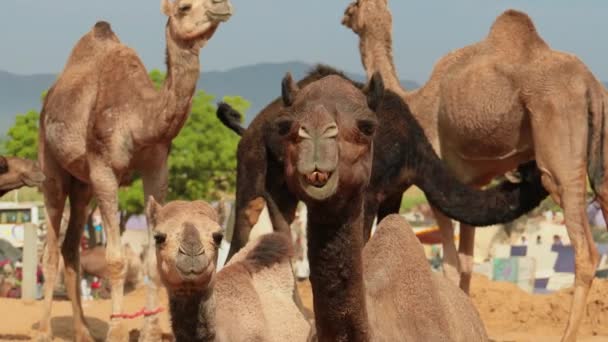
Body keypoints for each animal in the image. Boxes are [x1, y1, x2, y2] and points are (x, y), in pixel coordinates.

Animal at [36, 1, 233, 340]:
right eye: (184, 7)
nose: (222, 6)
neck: (139, 119)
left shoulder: (157, 167)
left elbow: (153, 257)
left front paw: (150, 330)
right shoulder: (103, 168)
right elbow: (115, 259)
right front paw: (116, 328)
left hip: (81, 185)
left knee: (71, 246)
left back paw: (83, 331)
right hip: (51, 166)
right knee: (50, 249)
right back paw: (45, 329)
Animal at [217, 65, 548, 262]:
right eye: (536, 170)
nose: (551, 177)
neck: (413, 149)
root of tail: (250, 128)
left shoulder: (394, 191)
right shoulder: (370, 192)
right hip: (253, 171)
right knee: (244, 230)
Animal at [344, 2, 604, 340]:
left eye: (355, 7)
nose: (344, 15)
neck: (414, 101)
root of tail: (590, 84)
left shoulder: (435, 179)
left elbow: (451, 263)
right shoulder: (472, 182)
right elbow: (467, 262)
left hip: (558, 127)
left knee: (585, 249)